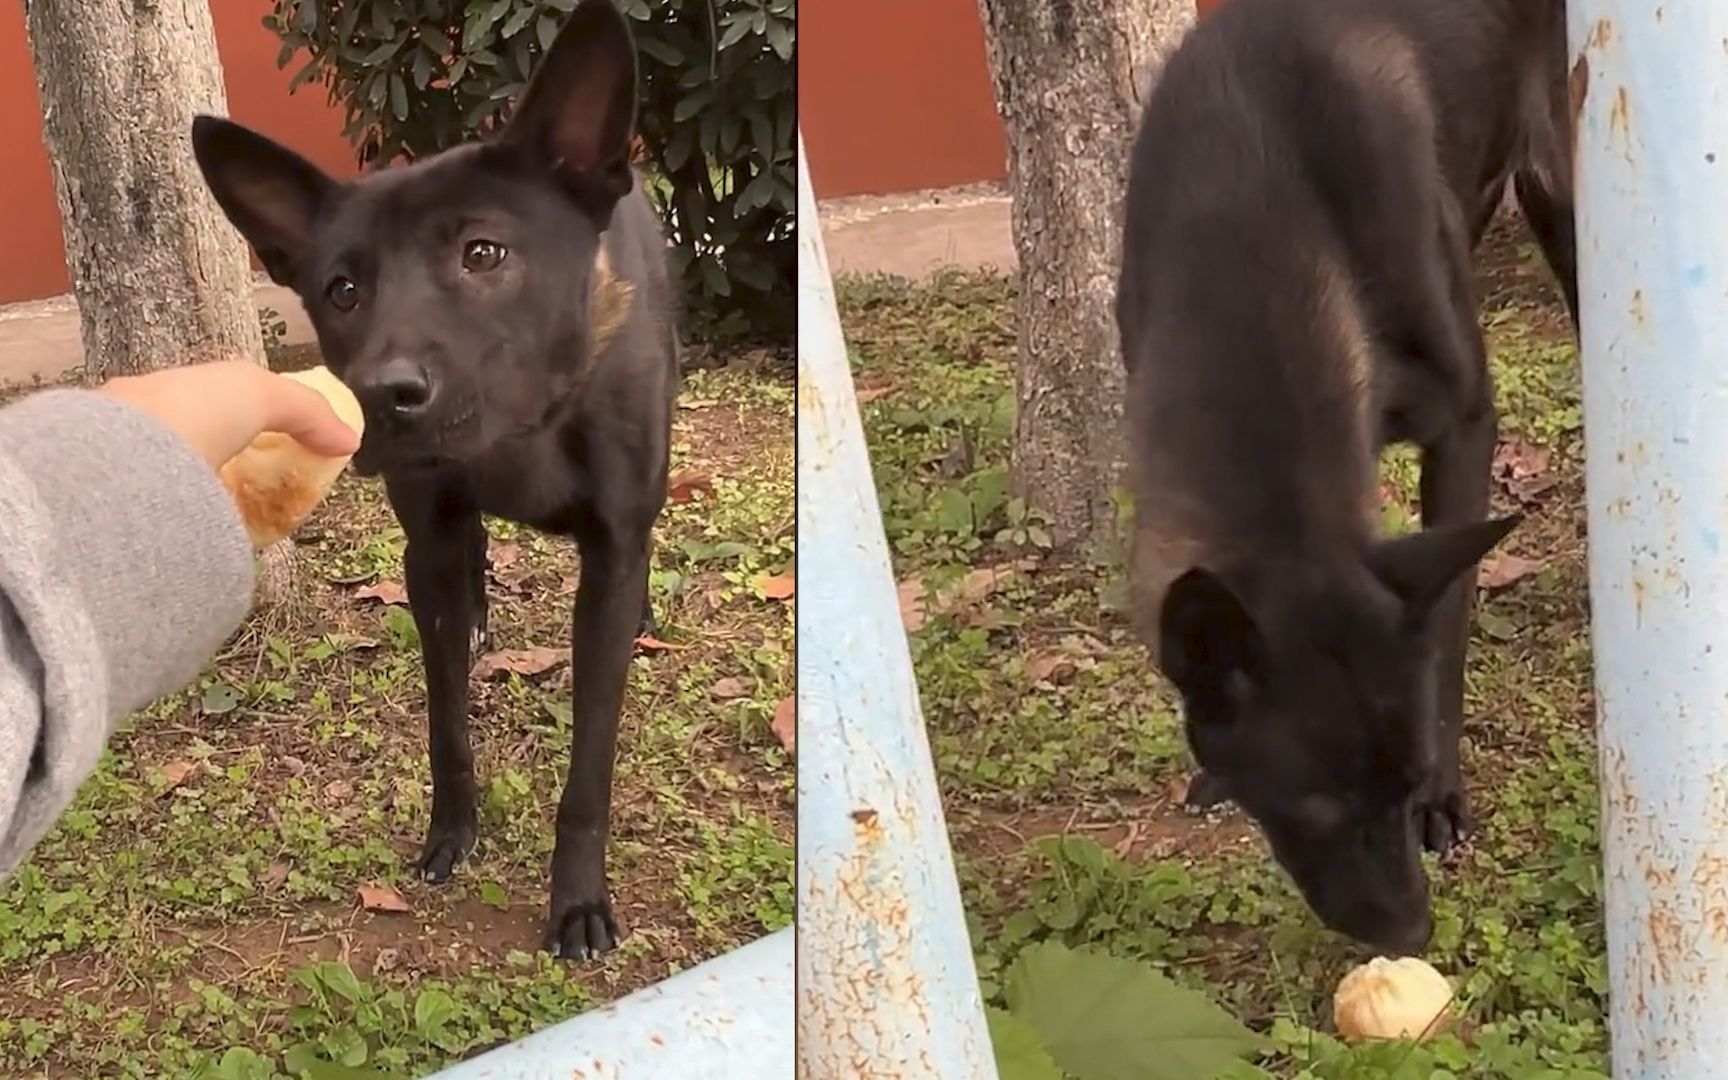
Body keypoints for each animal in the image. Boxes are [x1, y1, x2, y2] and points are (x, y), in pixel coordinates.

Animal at [190, 0, 673, 960]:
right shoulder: (429, 540)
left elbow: (590, 762)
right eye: (342, 289)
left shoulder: (609, 552)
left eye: (483, 253)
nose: (385, 396)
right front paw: (452, 830)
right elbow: (446, 714)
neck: (525, 427)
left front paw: (578, 901)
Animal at [1119, 0, 1582, 946]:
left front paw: (1448, 795)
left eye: (1405, 787)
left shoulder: (1465, 423)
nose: (1415, 934)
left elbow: (1448, 626)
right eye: (1318, 812)